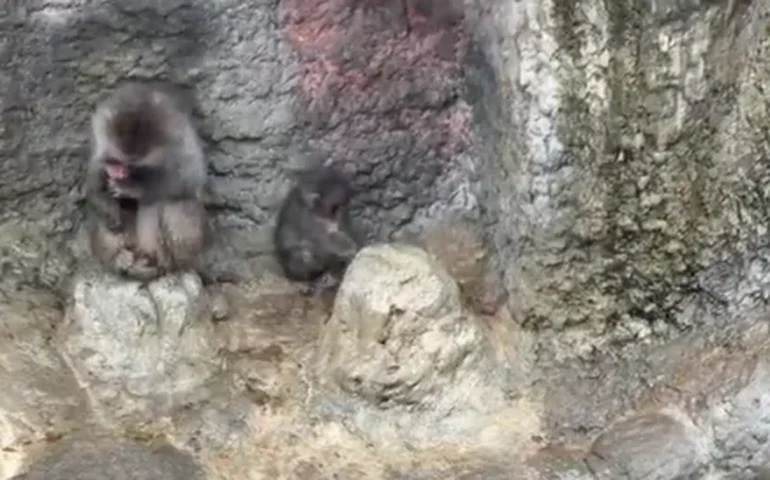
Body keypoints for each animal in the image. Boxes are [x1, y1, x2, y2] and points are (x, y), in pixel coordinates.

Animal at [85, 81, 208, 281]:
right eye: (115, 162)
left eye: (132, 168)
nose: (117, 175)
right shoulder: (99, 151)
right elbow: (94, 188)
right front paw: (111, 211)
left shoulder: (182, 143)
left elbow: (188, 179)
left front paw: (133, 187)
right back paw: (121, 259)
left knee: (176, 204)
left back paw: (164, 264)